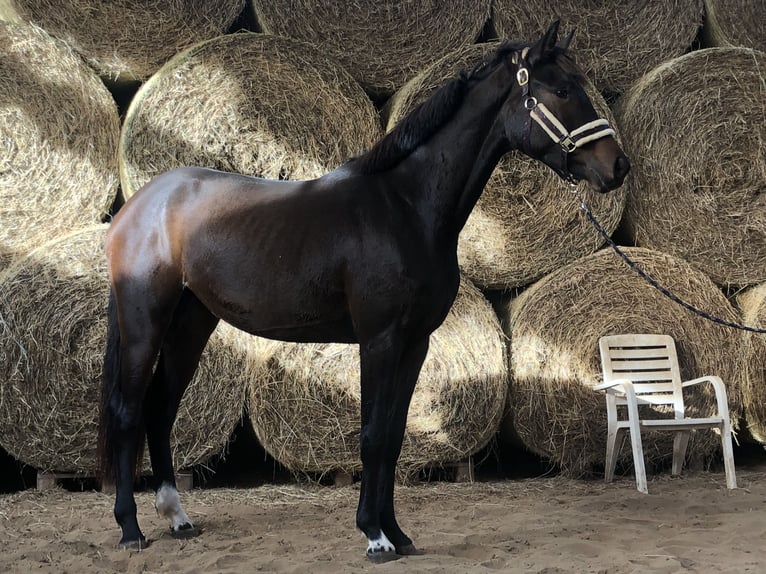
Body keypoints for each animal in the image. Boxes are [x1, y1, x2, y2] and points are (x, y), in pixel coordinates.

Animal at [99, 21, 632, 564]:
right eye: (562, 90)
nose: (618, 166)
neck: (405, 207)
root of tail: (137, 207)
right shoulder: (380, 340)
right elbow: (373, 435)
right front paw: (374, 536)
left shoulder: (415, 344)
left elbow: (394, 437)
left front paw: (397, 532)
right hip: (144, 323)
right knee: (128, 411)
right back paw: (130, 528)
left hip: (190, 324)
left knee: (161, 408)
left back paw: (178, 518)